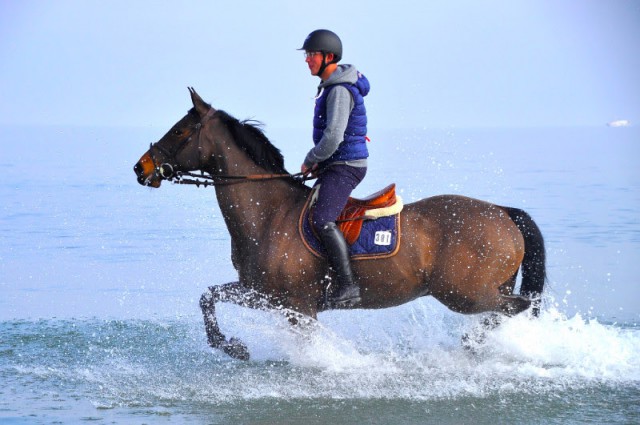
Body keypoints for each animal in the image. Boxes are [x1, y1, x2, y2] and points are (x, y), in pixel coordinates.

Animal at [134, 88, 544, 360]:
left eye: (180, 131)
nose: (141, 167)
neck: (269, 215)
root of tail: (502, 212)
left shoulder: (298, 308)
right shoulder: (261, 294)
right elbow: (208, 297)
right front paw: (232, 347)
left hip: (466, 293)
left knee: (518, 307)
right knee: (508, 310)